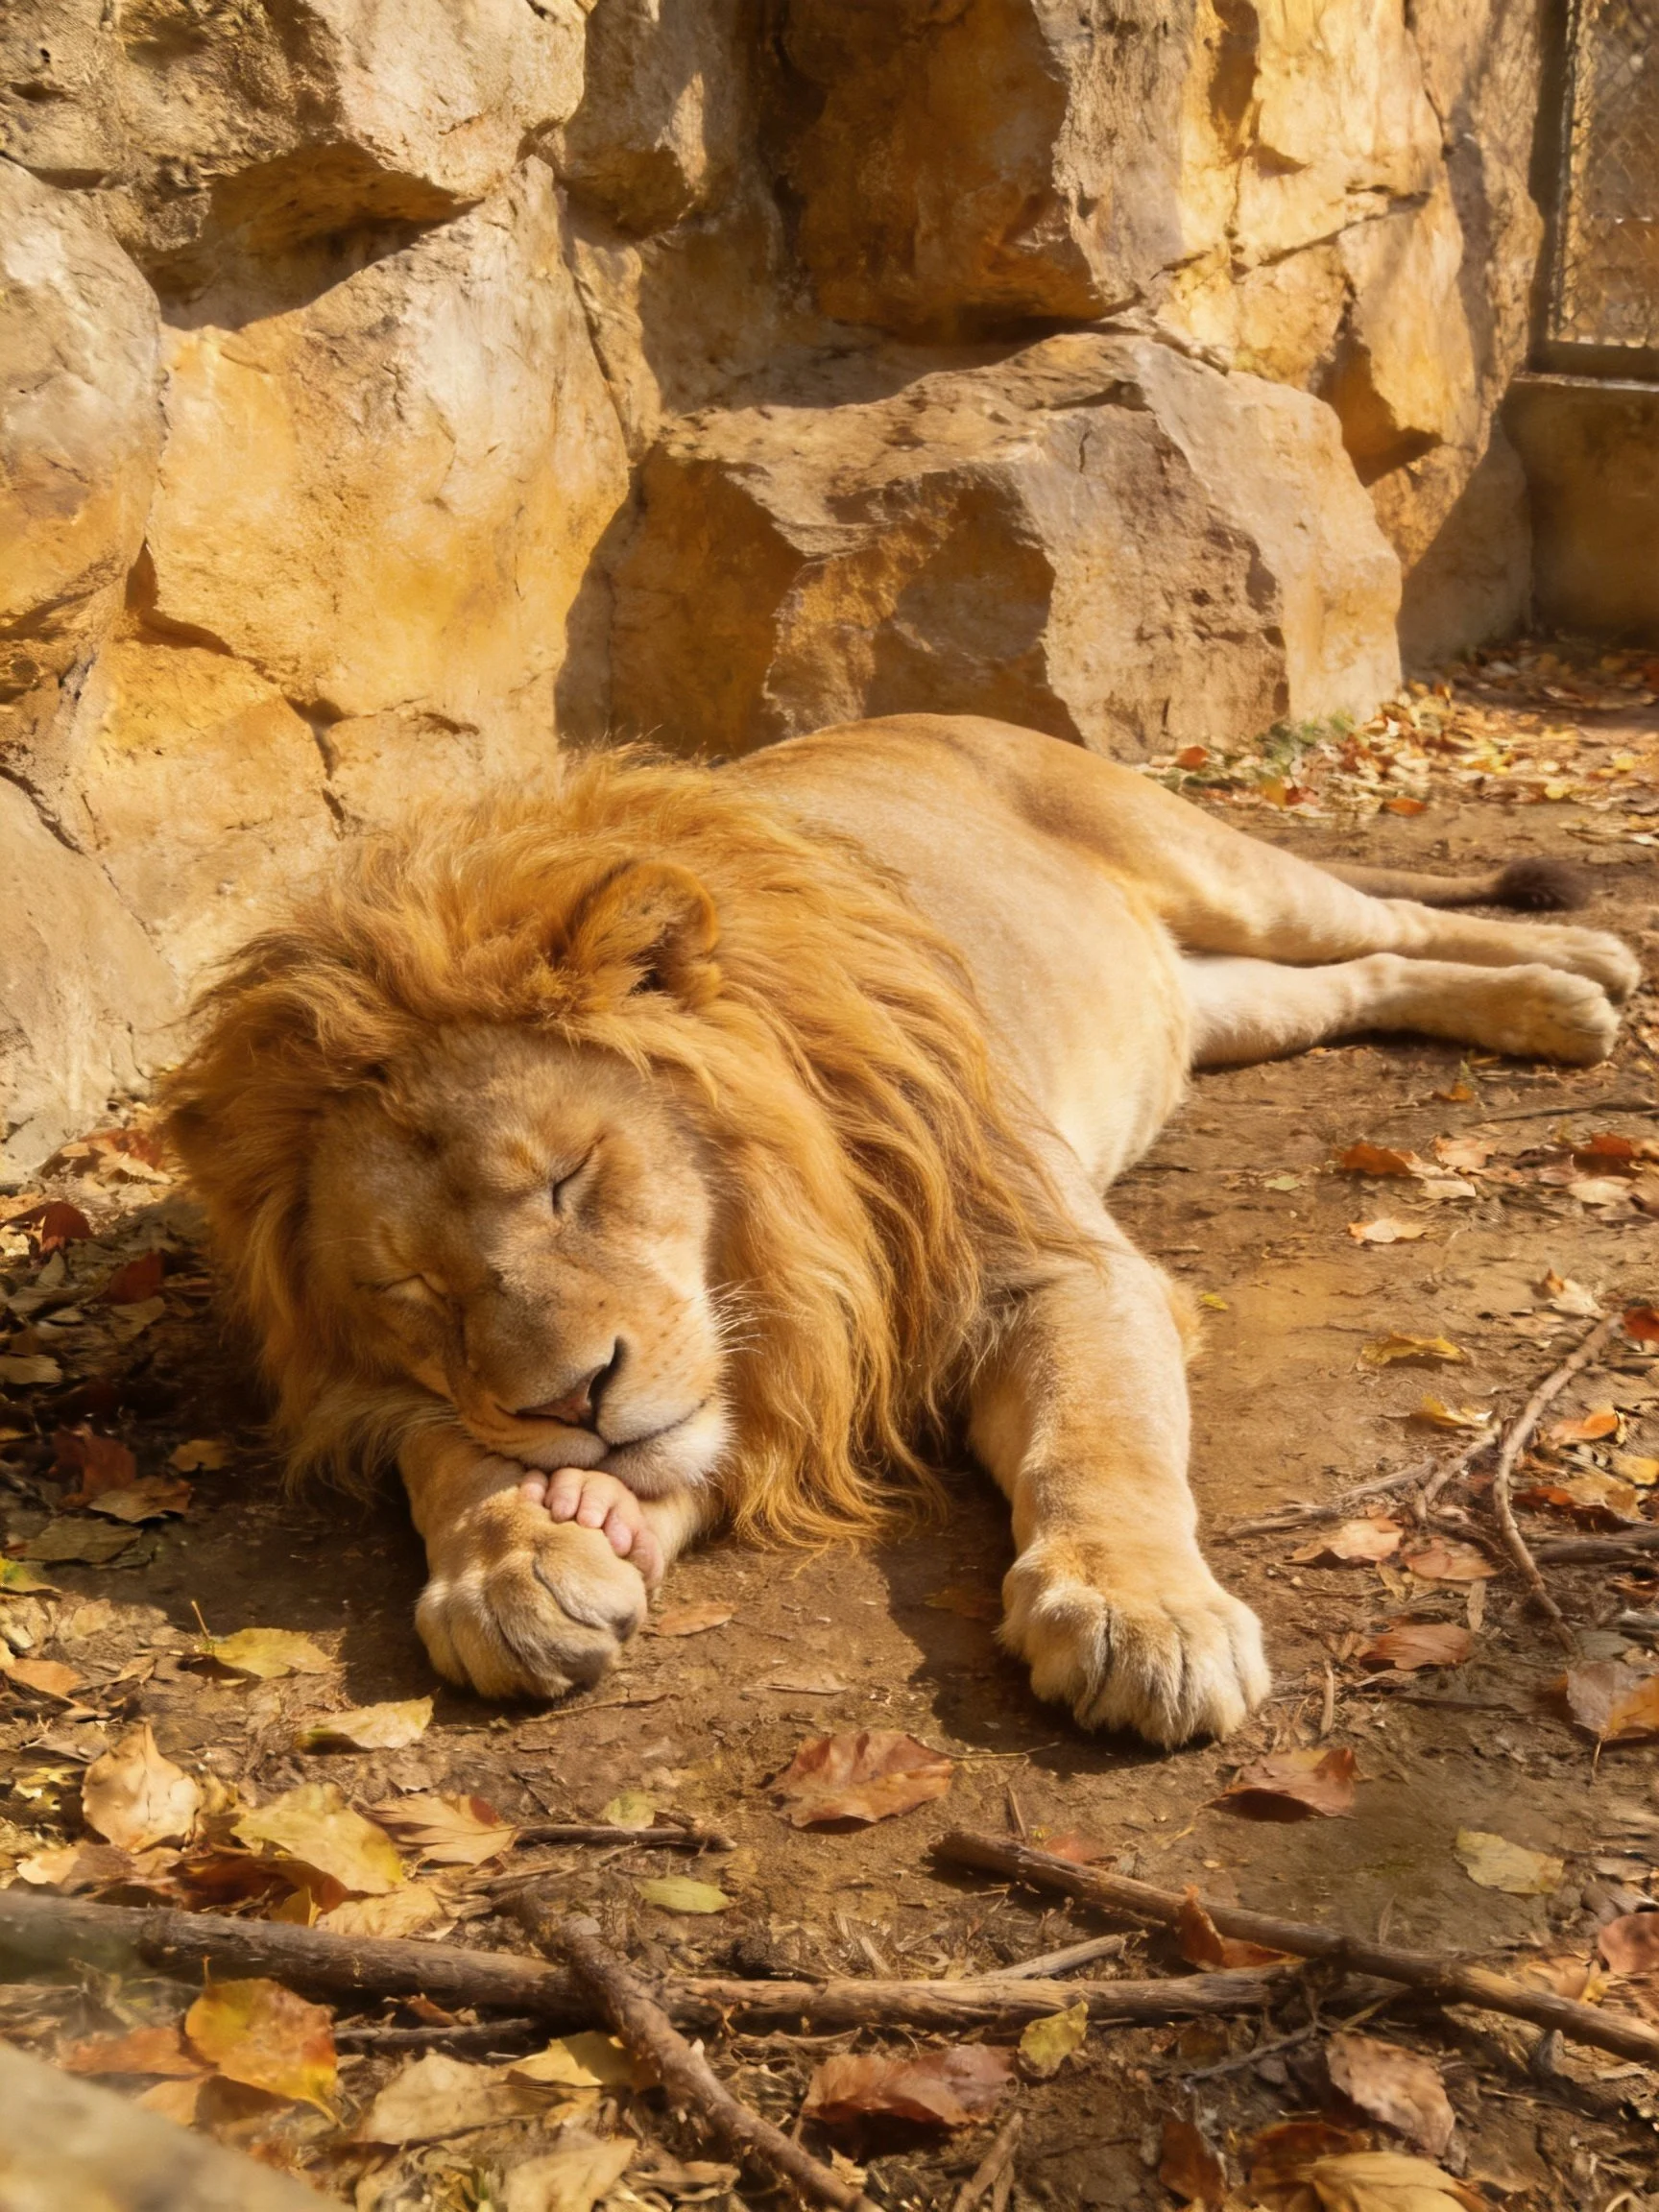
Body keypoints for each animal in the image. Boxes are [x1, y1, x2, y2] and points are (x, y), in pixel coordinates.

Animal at [161, 715, 1640, 1747]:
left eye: (571, 1179)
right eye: (410, 1286)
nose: (572, 1401)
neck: (779, 1223)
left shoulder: (1054, 1265)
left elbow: (1098, 1442)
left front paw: (1139, 1614)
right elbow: (450, 1451)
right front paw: (521, 1557)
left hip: (1224, 869)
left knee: (1388, 912)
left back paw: (1590, 973)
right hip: (1208, 1005)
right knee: (1355, 979)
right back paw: (1553, 1003)